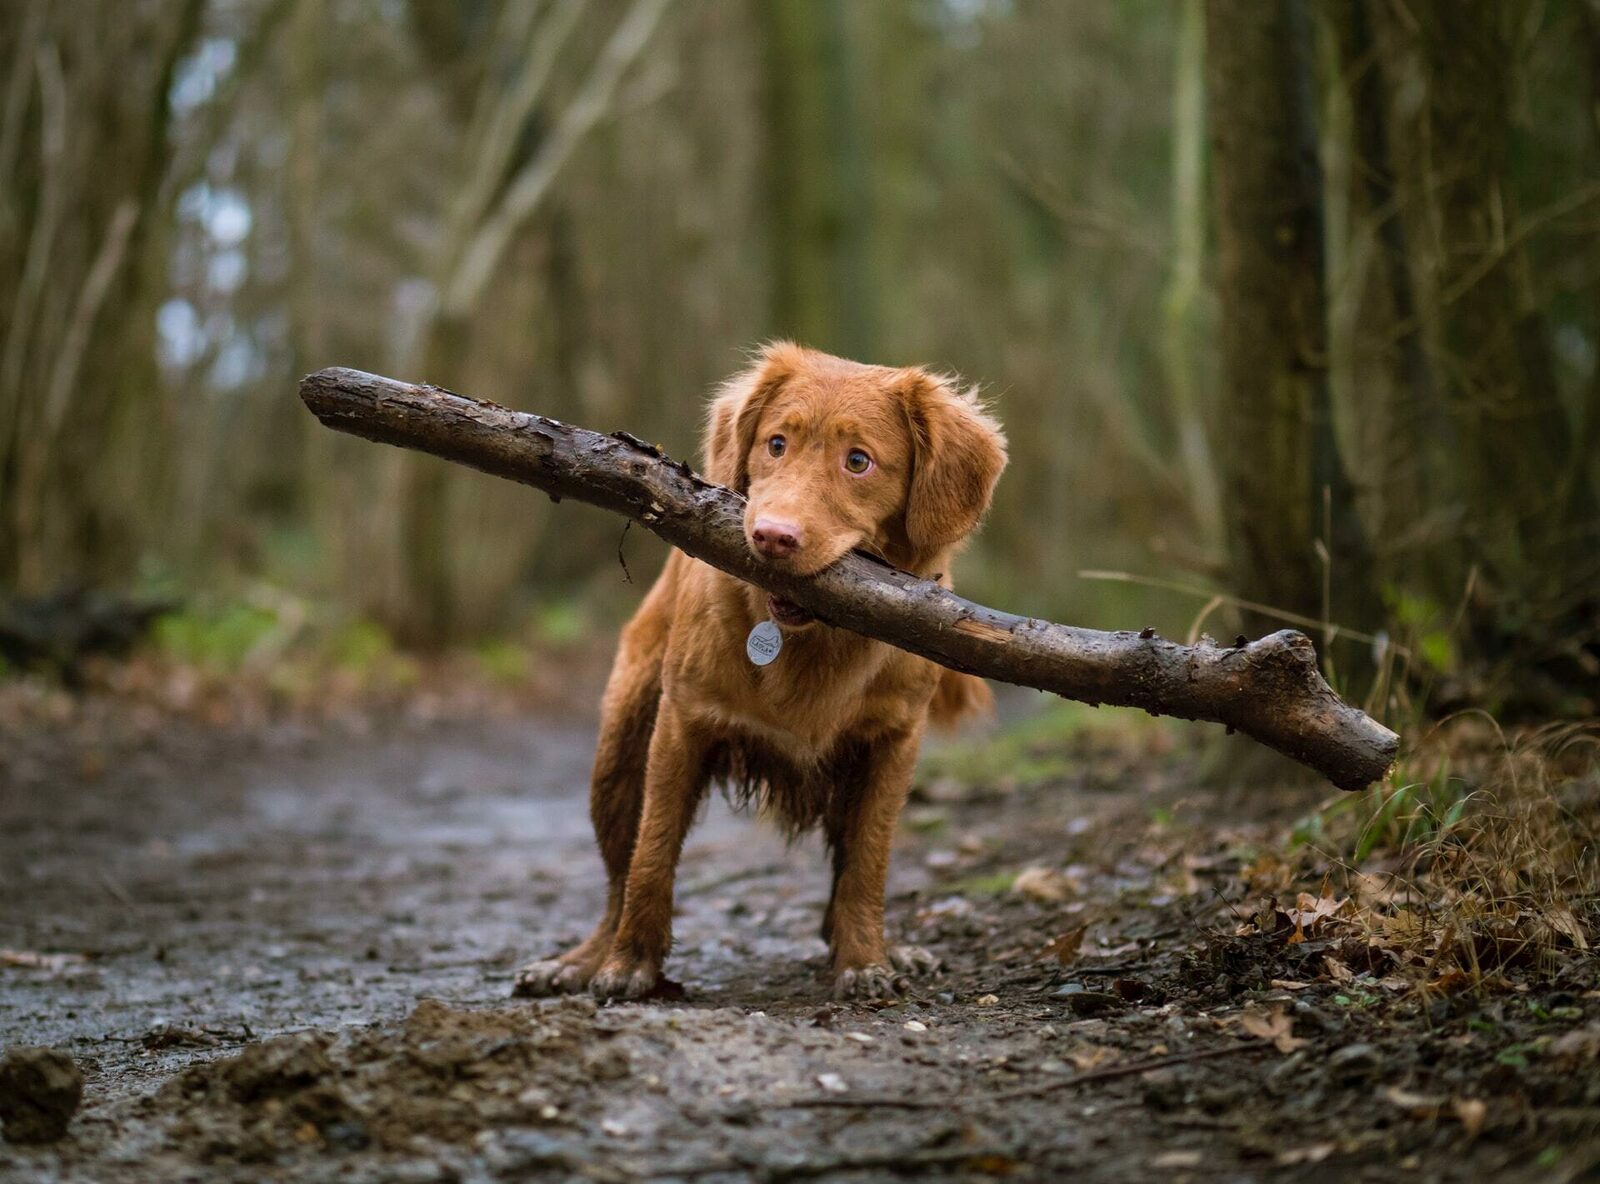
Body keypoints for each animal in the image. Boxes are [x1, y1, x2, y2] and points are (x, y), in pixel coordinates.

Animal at [518, 342, 1004, 998]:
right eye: (777, 444)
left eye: (859, 462)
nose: (773, 536)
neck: (813, 642)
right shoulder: (682, 724)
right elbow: (652, 854)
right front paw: (630, 965)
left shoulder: (893, 743)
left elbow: (867, 862)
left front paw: (865, 960)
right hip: (619, 751)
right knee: (619, 875)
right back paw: (583, 960)